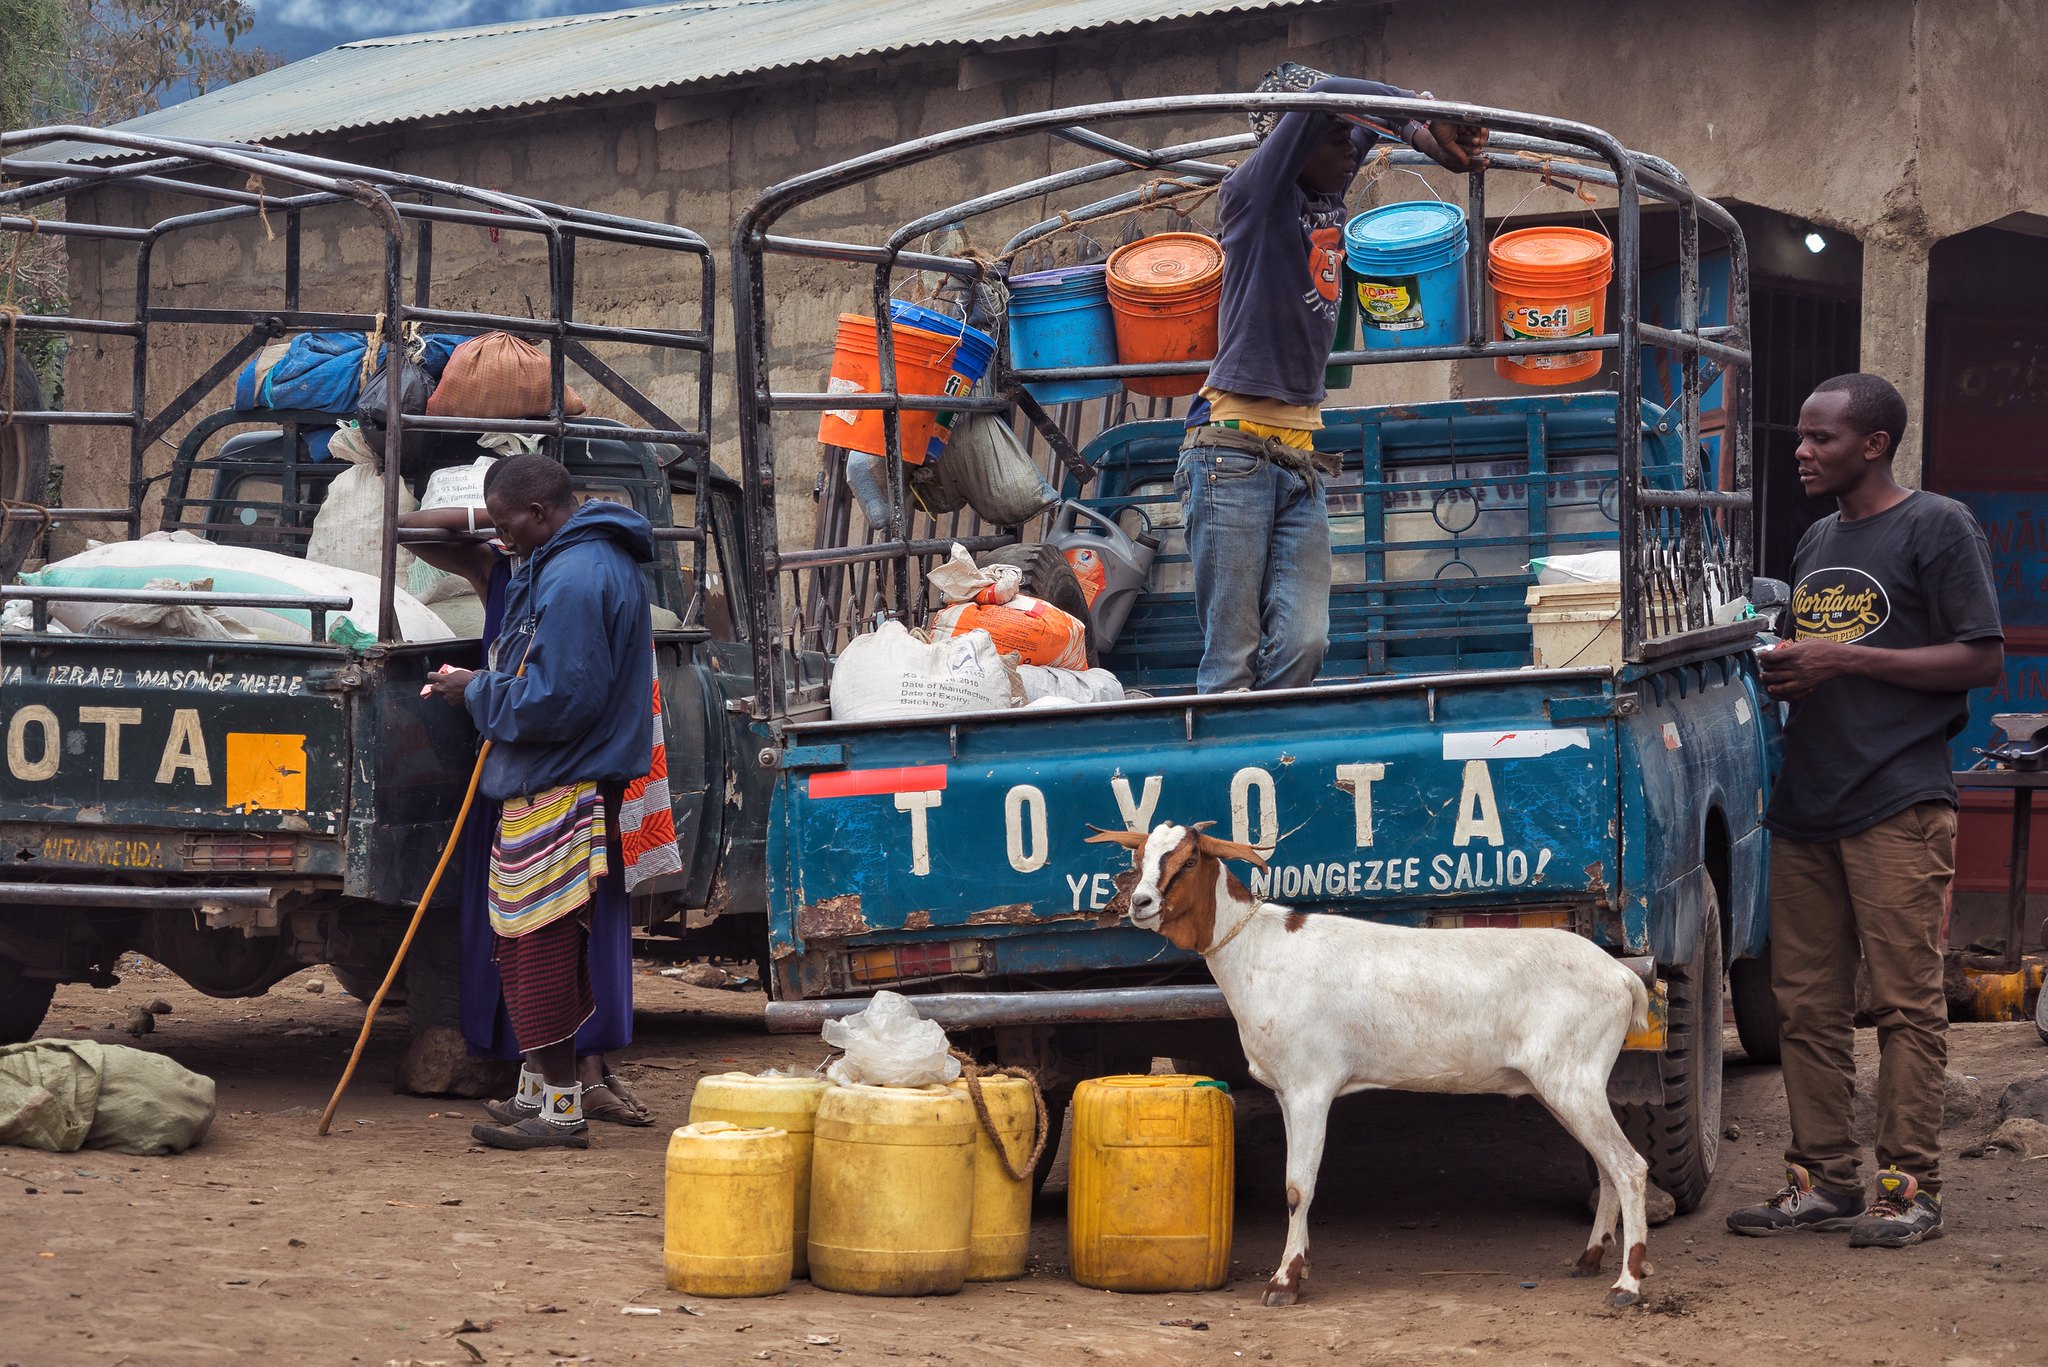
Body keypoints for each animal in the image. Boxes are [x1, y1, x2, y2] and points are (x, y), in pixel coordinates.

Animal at [1089, 819, 1646, 1311]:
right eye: (1139, 859)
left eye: (1189, 860)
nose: (1140, 903)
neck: (1259, 949)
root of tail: (1623, 977)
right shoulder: (1285, 1090)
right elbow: (1294, 1184)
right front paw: (1299, 1266)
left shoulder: (1311, 1086)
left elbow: (1298, 1187)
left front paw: (1284, 1282)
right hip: (1566, 1086)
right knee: (1607, 1167)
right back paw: (1590, 1258)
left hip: (1572, 1080)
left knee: (1630, 1167)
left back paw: (1628, 1284)